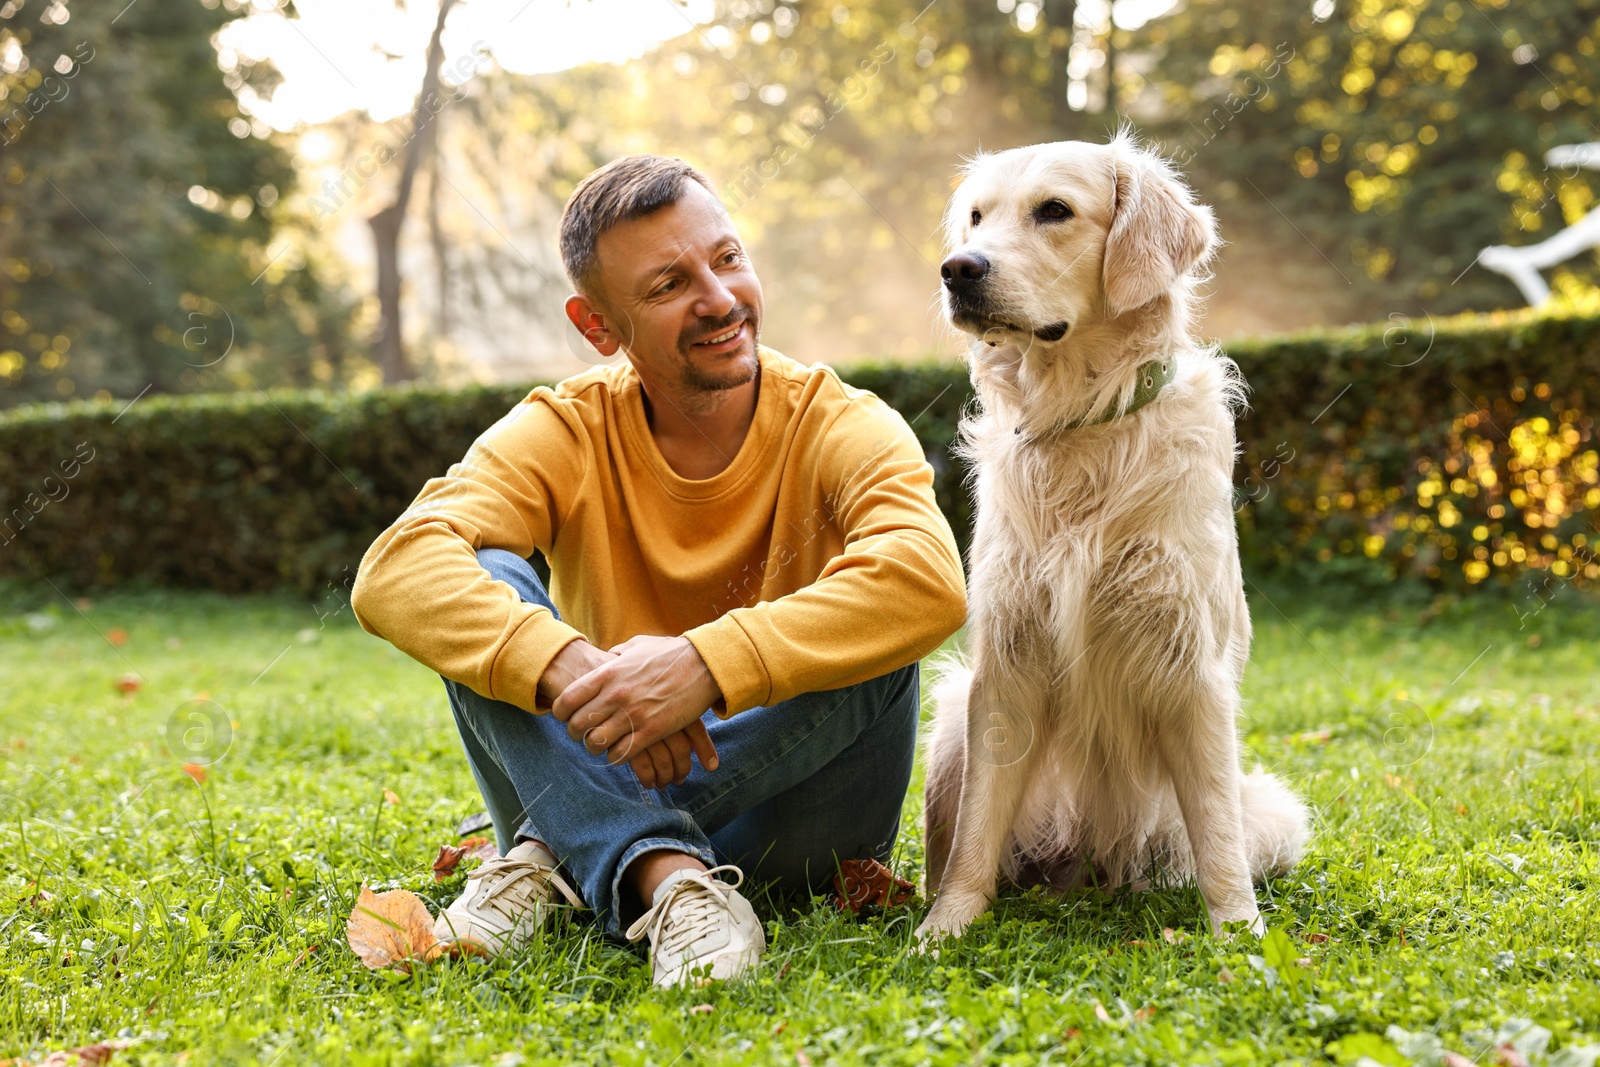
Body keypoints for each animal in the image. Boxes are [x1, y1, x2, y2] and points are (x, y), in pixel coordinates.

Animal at [921, 131, 1305, 940]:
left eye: (1054, 210)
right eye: (976, 217)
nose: (958, 269)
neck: (1081, 425)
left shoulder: (1191, 665)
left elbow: (1217, 834)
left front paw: (1239, 934)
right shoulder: (1003, 662)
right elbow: (975, 830)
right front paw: (944, 927)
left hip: (1274, 809)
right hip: (949, 722)